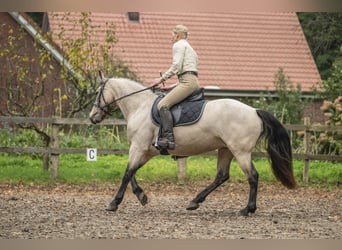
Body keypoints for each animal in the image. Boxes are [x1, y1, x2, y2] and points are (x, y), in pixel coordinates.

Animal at [89, 71, 296, 216]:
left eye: (98, 92)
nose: (92, 117)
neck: (140, 107)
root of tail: (254, 111)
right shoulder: (145, 150)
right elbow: (131, 173)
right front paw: (142, 196)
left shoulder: (138, 148)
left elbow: (127, 173)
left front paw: (114, 203)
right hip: (226, 149)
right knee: (221, 176)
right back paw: (195, 201)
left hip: (241, 151)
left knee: (252, 176)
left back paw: (248, 209)